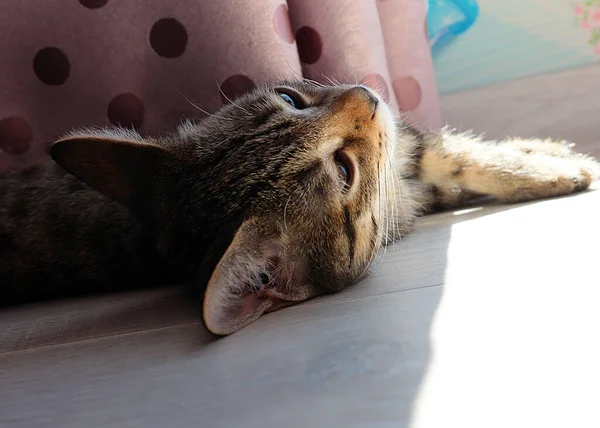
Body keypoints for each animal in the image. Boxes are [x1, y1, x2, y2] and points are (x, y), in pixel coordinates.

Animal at [0, 81, 596, 334]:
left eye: (289, 98)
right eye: (343, 171)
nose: (367, 94)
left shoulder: (412, 153)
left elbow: (462, 155)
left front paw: (543, 154)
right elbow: (463, 160)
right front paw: (558, 168)